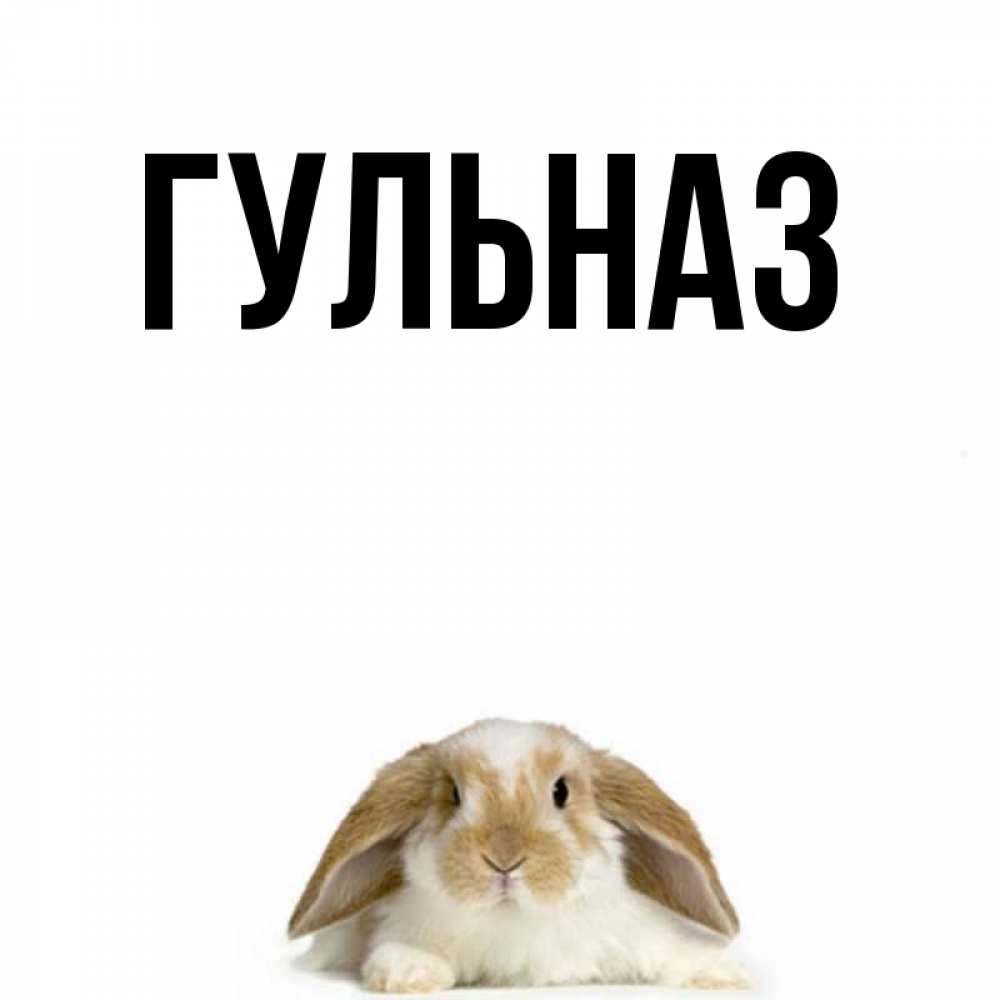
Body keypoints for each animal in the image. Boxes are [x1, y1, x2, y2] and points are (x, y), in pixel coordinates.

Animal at [288, 719, 750, 991]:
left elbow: (674, 950)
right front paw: (409, 973)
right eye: (454, 795)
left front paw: (725, 973)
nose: (504, 859)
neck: (514, 918)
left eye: (561, 791)